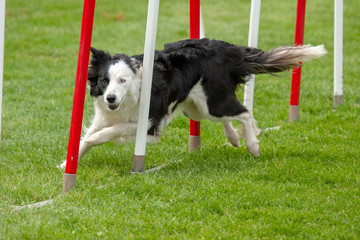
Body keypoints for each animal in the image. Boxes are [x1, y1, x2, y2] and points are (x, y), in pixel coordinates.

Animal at [59, 38, 326, 168]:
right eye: (104, 81)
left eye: (122, 81)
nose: (110, 98)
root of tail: (229, 50)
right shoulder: (105, 115)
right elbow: (88, 135)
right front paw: (67, 164)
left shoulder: (150, 123)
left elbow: (109, 132)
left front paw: (93, 141)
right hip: (195, 108)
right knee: (229, 117)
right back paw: (233, 138)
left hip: (213, 103)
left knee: (245, 113)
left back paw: (252, 145)